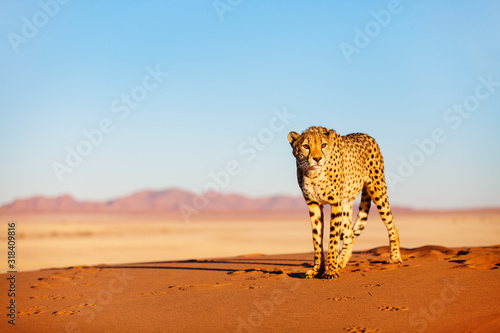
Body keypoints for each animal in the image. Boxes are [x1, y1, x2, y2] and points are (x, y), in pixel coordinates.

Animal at [290, 125, 402, 278]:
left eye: (323, 145)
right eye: (306, 146)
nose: (317, 158)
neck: (314, 174)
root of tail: (366, 135)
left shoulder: (335, 203)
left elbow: (333, 238)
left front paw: (330, 270)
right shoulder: (314, 205)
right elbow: (316, 240)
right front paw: (317, 269)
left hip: (378, 191)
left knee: (391, 225)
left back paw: (395, 258)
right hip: (346, 204)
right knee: (350, 234)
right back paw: (341, 262)